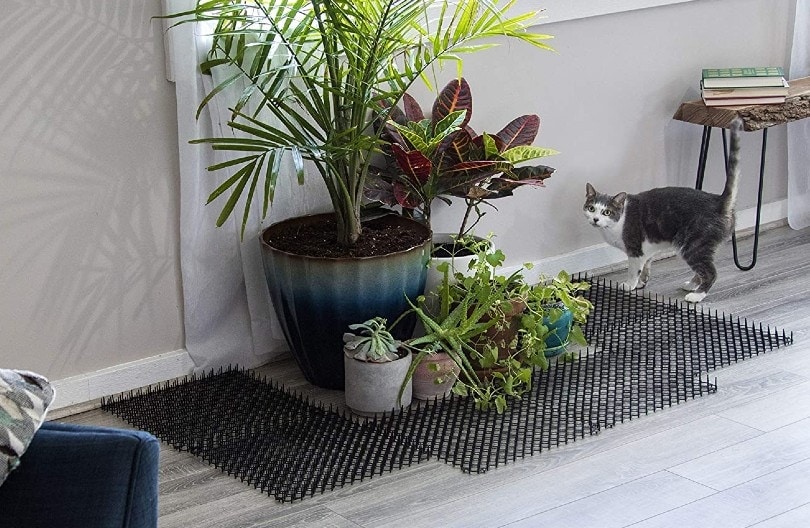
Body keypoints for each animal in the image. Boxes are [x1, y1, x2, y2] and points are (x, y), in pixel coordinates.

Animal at [584, 118, 740, 304]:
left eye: (606, 212)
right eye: (591, 208)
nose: (595, 219)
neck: (616, 225)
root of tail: (718, 201)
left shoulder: (635, 249)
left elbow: (633, 270)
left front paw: (629, 285)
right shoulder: (646, 251)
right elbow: (646, 267)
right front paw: (641, 283)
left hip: (693, 245)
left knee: (711, 272)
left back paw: (696, 295)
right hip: (702, 247)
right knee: (702, 269)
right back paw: (691, 285)